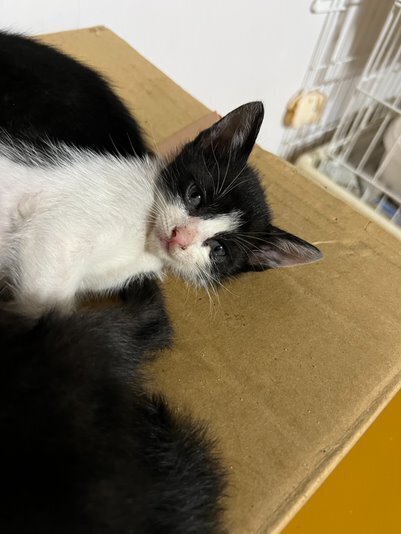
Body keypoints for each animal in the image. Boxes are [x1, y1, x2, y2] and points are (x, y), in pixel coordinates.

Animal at [0, 32, 322, 317]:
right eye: (195, 195)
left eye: (219, 249)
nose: (180, 237)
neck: (143, 245)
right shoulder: (57, 235)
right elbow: (45, 302)